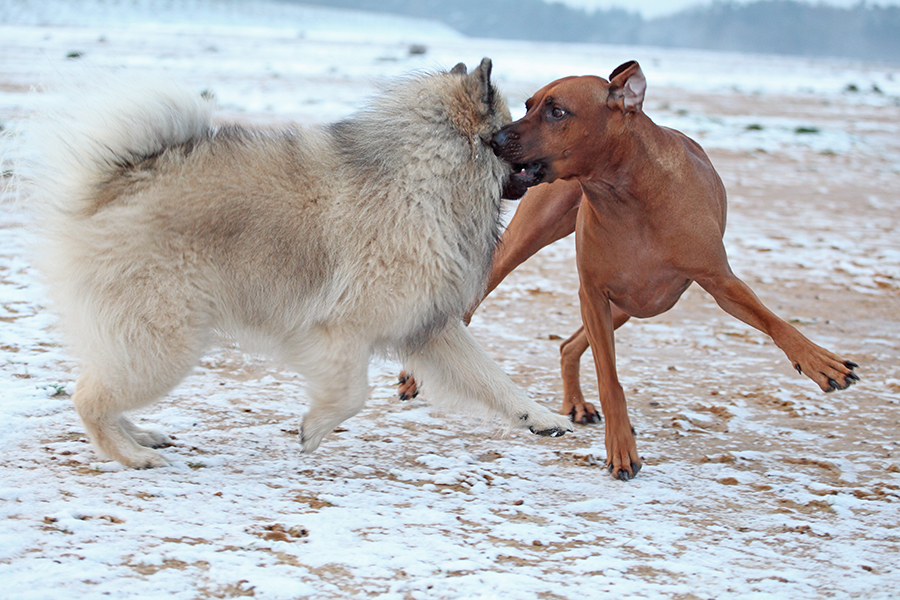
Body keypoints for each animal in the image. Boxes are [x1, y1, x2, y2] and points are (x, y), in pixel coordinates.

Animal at [486, 61, 856, 480]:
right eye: (528, 105)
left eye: (556, 112)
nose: (494, 138)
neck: (626, 194)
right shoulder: (593, 293)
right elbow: (610, 380)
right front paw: (621, 449)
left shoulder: (721, 283)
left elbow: (775, 322)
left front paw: (820, 362)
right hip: (531, 248)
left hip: (638, 303)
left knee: (569, 345)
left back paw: (577, 403)